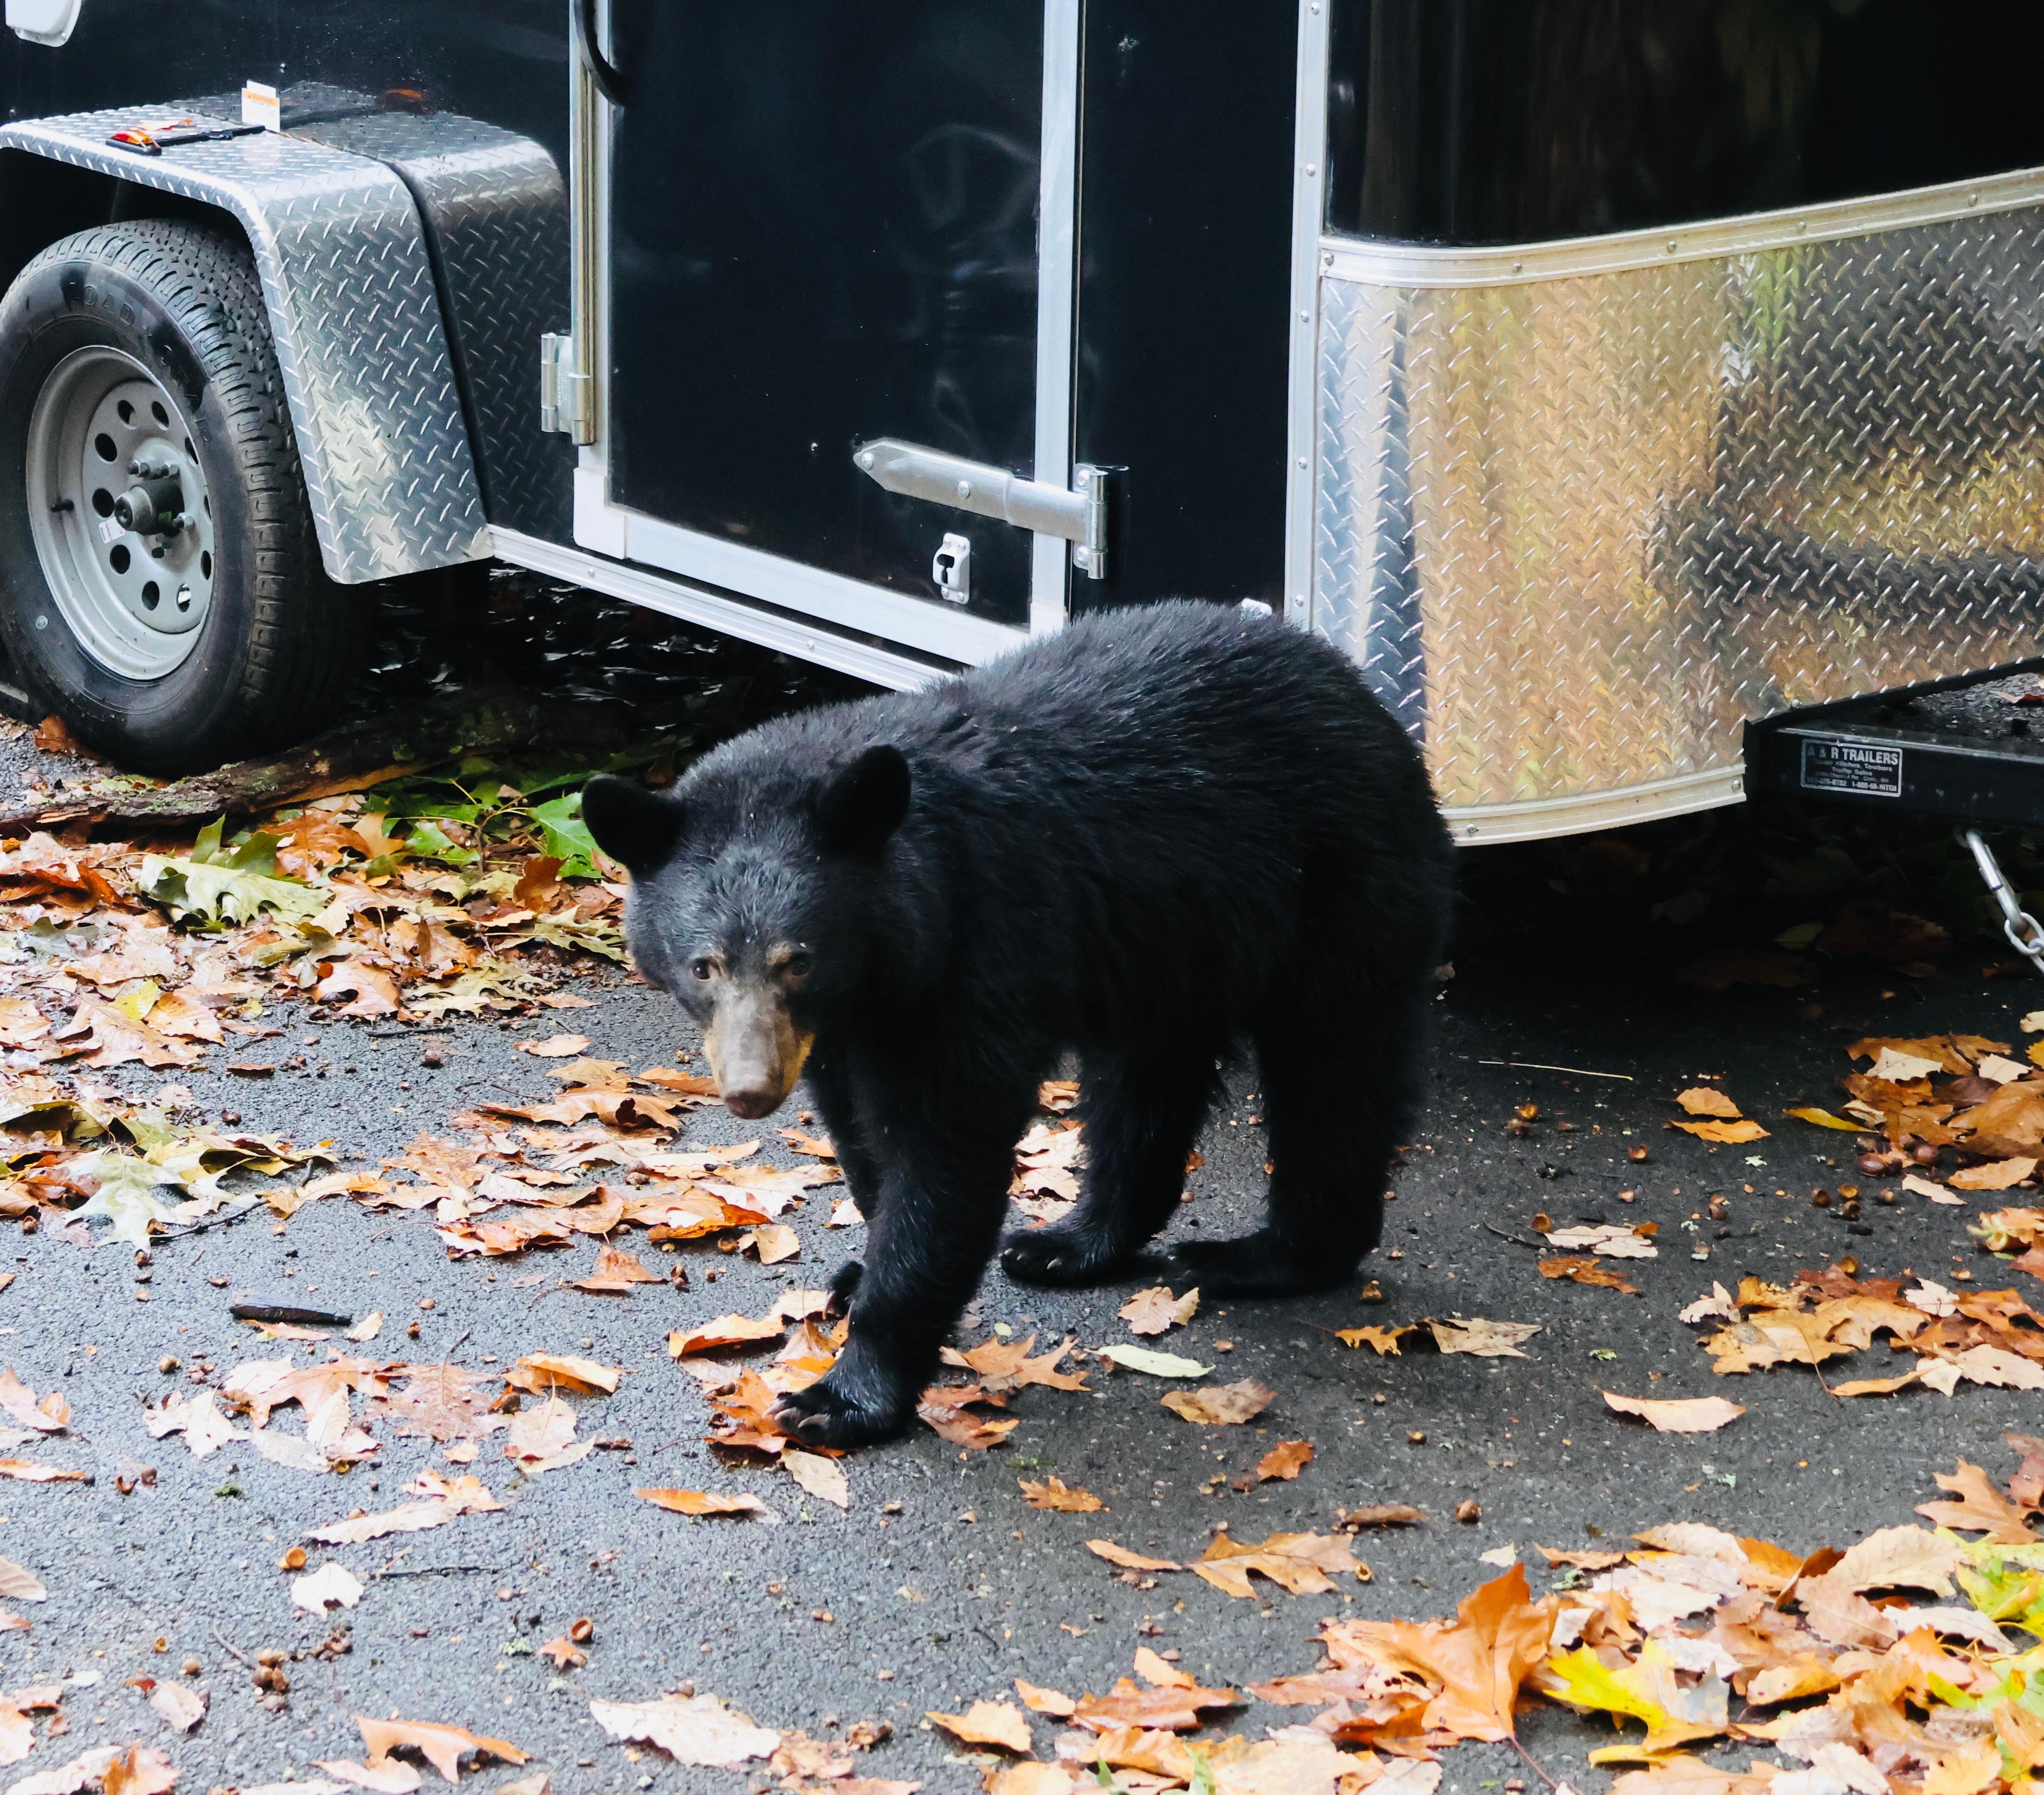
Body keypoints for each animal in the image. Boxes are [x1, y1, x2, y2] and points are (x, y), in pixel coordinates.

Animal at [582, 598, 1454, 1447]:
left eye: (797, 960)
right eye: (704, 965)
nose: (750, 1092)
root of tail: (1364, 699)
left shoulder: (980, 951)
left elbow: (947, 1148)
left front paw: (844, 1396)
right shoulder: (843, 1025)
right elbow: (859, 1134)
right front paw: (858, 1270)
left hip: (1342, 893)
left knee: (1333, 1071)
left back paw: (1262, 1256)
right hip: (1171, 941)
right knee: (1143, 1085)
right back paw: (1072, 1243)